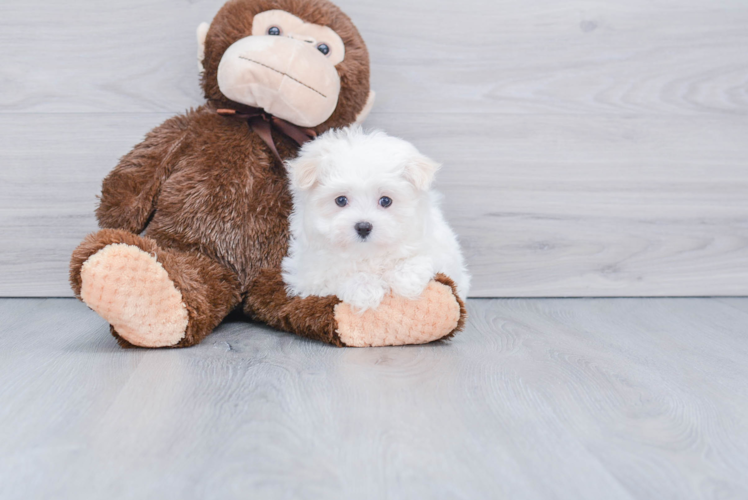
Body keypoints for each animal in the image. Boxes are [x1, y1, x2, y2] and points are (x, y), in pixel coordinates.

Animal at [280, 127, 468, 310]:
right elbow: (337, 274)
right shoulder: (310, 276)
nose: (363, 227)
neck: (368, 253)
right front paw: (365, 289)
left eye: (385, 201)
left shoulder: (439, 248)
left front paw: (406, 280)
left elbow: (421, 258)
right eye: (341, 200)